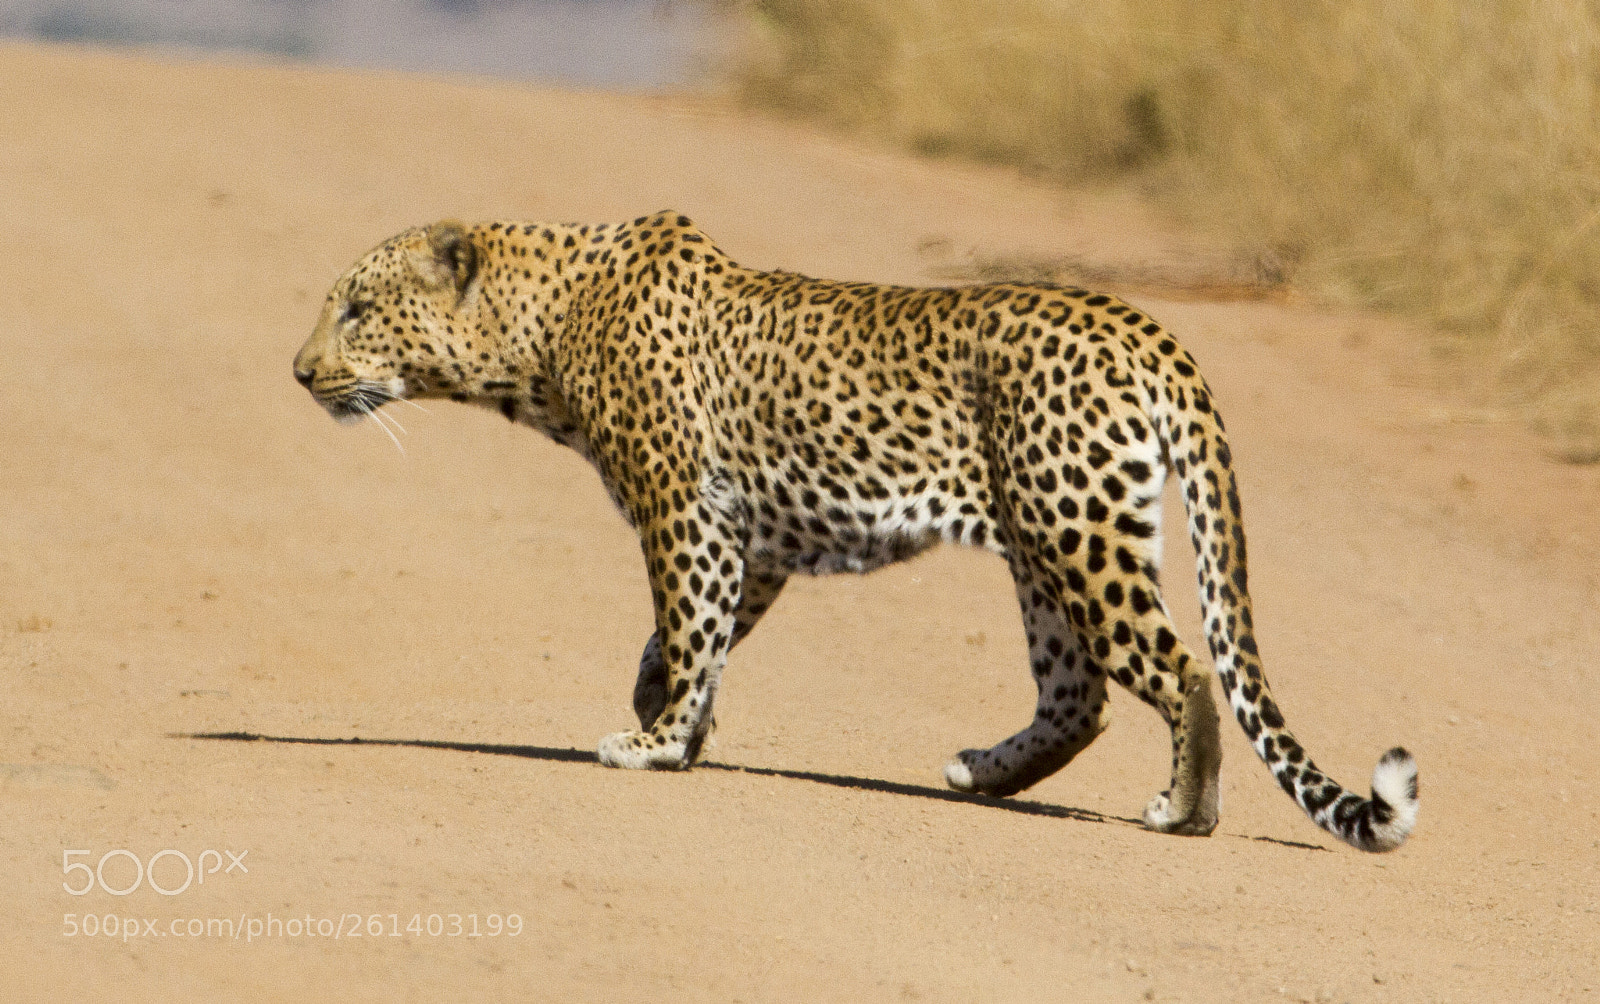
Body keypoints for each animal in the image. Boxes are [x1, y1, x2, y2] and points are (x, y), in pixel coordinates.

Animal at [292, 211, 1420, 852]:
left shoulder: (682, 508)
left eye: (356, 309)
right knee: (1080, 693)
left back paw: (1184, 812)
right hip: (1042, 545)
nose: (300, 371)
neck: (543, 332)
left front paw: (652, 742)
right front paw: (675, 722)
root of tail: (1153, 332)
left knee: (1179, 670)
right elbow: (691, 637)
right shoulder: (751, 538)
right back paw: (985, 771)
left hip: (1078, 531)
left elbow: (687, 626)